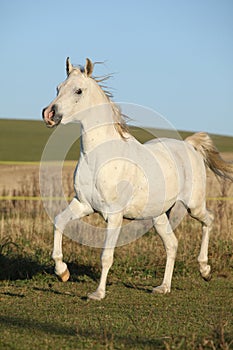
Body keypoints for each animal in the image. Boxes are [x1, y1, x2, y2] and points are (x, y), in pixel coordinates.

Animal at [42, 58, 233, 300]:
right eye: (58, 88)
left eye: (78, 90)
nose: (49, 114)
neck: (99, 157)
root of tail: (189, 145)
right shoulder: (83, 204)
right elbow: (59, 222)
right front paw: (62, 272)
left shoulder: (114, 215)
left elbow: (106, 256)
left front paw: (98, 293)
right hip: (159, 216)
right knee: (172, 244)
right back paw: (164, 287)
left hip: (194, 205)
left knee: (209, 220)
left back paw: (205, 270)